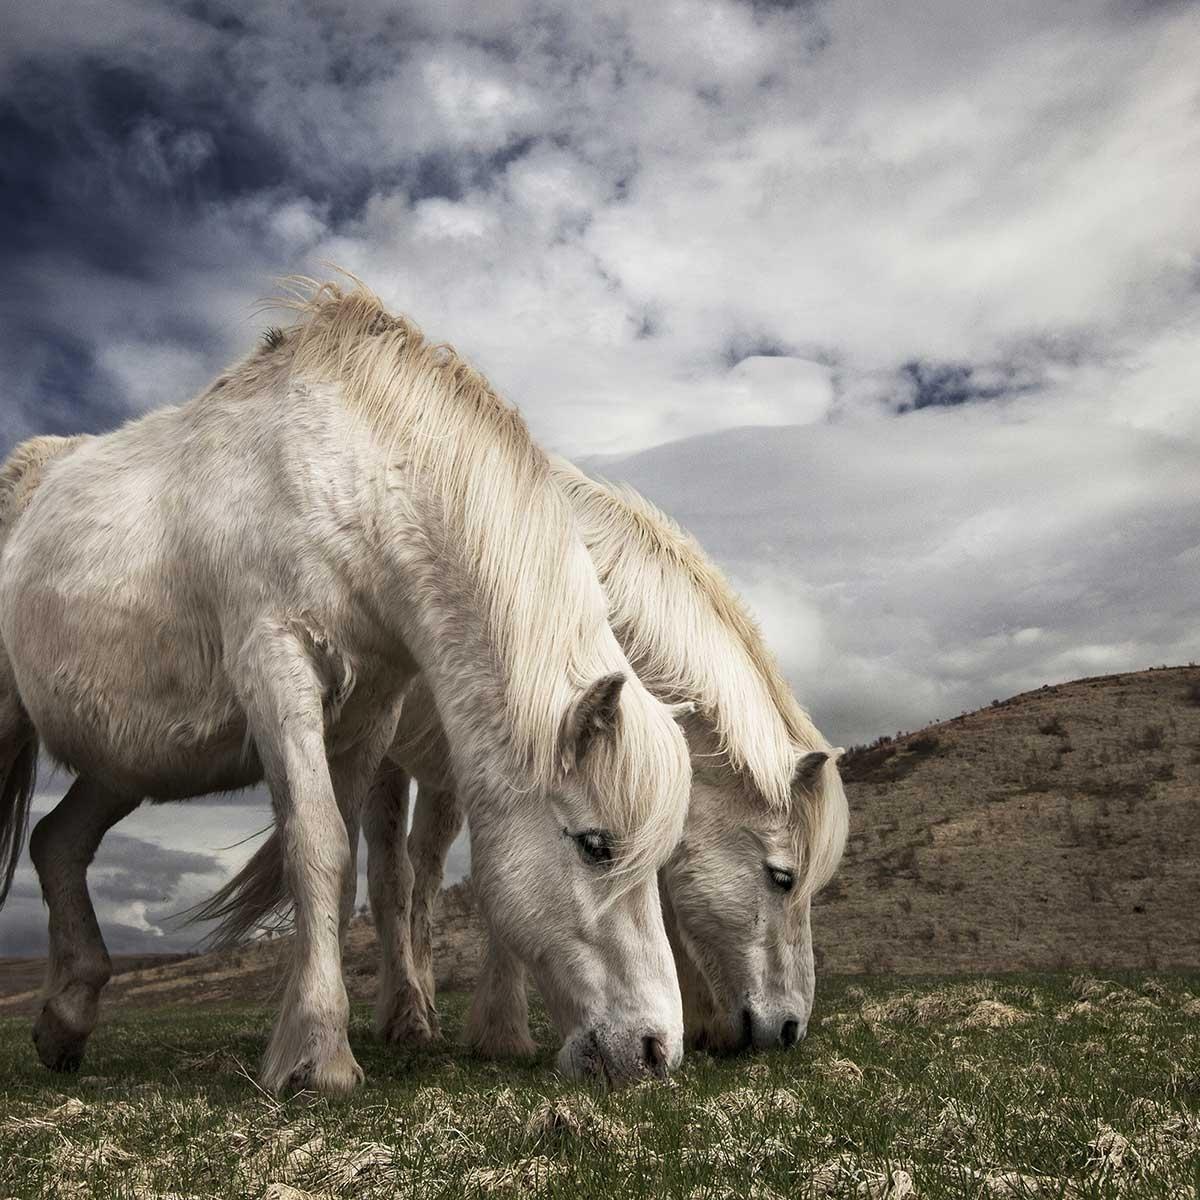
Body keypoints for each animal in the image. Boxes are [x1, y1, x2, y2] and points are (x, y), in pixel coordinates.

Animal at [0, 283, 696, 1099]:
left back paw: (65, 1021)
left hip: (123, 765)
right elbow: (320, 846)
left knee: (57, 844)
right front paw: (321, 1056)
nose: (655, 1049)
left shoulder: (369, 715)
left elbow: (345, 876)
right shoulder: (278, 669)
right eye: (595, 845)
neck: (349, 481)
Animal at [201, 453, 849, 1056]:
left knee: (423, 876)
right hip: (385, 758)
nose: (789, 1029)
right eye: (784, 878)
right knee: (390, 876)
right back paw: (401, 1017)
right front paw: (503, 1031)